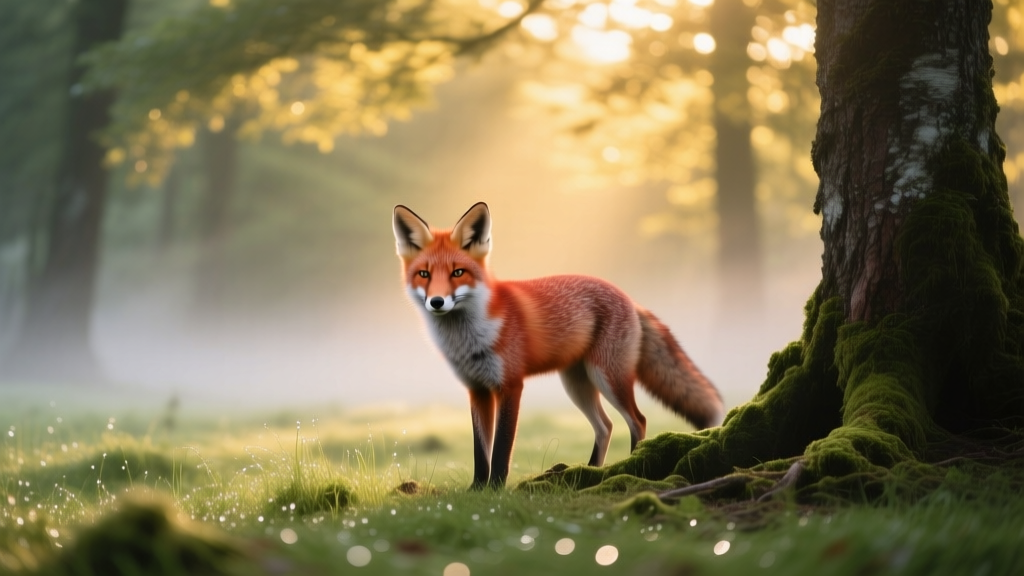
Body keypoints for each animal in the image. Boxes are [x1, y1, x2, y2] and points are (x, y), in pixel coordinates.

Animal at [393, 202, 725, 488]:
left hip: (608, 378)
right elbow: (480, 451)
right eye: (424, 274)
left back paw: (632, 467)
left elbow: (501, 449)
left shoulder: (510, 385)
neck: (469, 337)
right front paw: (476, 490)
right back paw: (591, 472)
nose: (437, 302)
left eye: (457, 272)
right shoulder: (477, 390)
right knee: (605, 426)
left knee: (638, 421)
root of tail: (628, 297)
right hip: (577, 385)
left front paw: (496, 489)